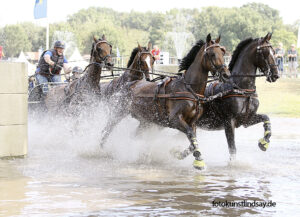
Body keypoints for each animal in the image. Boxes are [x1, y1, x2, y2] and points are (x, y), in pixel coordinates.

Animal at [100, 34, 230, 170]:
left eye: (222, 52)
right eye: (212, 54)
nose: (226, 74)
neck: (188, 89)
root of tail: (128, 84)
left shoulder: (192, 122)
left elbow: (192, 141)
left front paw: (177, 153)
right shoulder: (175, 120)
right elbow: (191, 135)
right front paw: (199, 160)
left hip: (145, 121)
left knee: (134, 135)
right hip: (118, 113)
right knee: (106, 130)